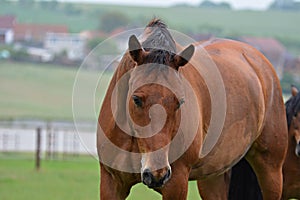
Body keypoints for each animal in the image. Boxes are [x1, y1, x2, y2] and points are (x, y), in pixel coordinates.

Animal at [97, 18, 288, 198]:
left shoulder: (176, 183)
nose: (157, 174)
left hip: (271, 170)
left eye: (180, 102)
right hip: (213, 178)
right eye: (136, 99)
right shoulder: (112, 183)